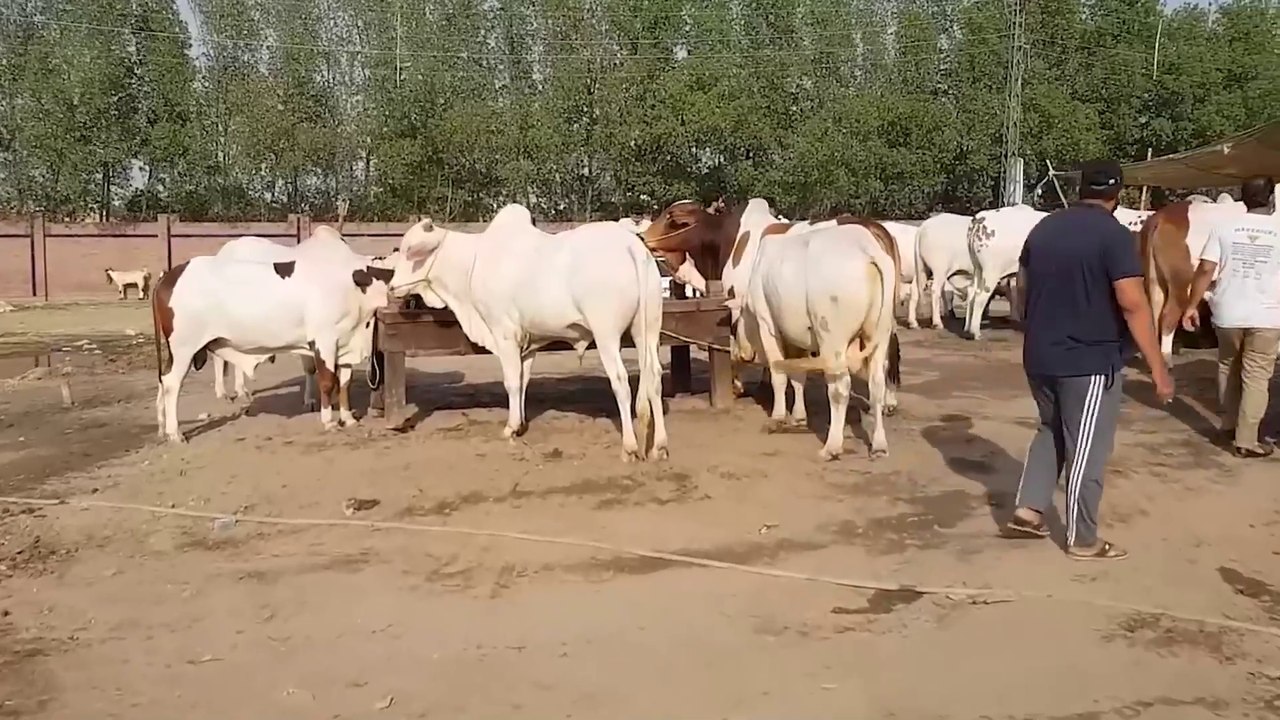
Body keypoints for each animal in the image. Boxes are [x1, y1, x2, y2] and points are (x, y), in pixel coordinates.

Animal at [151, 226, 392, 442]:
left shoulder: (345, 341)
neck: (354, 281)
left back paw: (162, 426)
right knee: (172, 383)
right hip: (184, 348)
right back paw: (175, 432)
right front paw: (328, 421)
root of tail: (168, 276)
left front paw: (348, 418)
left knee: (164, 379)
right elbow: (327, 381)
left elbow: (344, 383)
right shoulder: (324, 340)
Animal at [386, 205, 667, 462]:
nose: (391, 287)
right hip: (647, 330)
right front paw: (519, 423)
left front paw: (510, 427)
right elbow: (523, 380)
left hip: (606, 334)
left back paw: (629, 447)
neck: (472, 265)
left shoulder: (505, 334)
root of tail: (631, 245)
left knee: (620, 380)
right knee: (653, 376)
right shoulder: (529, 341)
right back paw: (659, 446)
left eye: (409, 250)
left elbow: (511, 381)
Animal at [726, 222, 899, 459]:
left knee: (839, 388)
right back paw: (879, 444)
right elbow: (798, 376)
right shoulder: (797, 336)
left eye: (734, 328)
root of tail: (867, 249)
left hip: (831, 334)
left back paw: (832, 446)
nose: (738, 353)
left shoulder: (767, 323)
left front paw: (777, 417)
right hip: (879, 333)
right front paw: (798, 416)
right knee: (877, 384)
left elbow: (778, 373)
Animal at [964, 205, 1048, 340]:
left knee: (971, 291)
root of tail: (980, 218)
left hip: (977, 267)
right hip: (991, 270)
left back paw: (967, 328)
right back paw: (976, 332)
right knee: (980, 296)